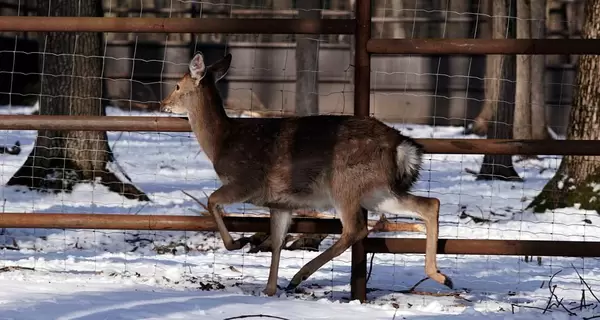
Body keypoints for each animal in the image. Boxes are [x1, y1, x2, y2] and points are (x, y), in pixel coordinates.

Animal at [157, 51, 452, 296]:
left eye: (177, 85)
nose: (162, 103)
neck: (222, 142)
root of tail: (401, 146)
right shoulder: (281, 203)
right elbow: (277, 242)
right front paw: (269, 289)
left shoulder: (246, 182)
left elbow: (211, 201)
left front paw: (237, 243)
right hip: (377, 190)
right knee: (430, 204)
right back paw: (441, 276)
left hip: (345, 183)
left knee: (355, 228)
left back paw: (299, 276)